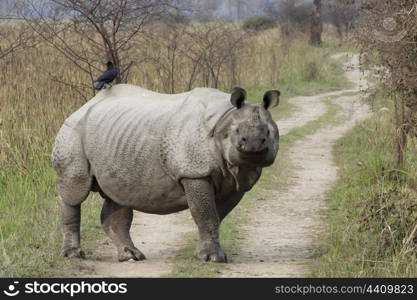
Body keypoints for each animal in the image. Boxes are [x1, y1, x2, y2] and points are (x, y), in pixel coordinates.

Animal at [52, 84, 280, 262]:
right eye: (238, 133)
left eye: (269, 133)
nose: (253, 145)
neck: (225, 117)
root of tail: (81, 107)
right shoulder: (194, 172)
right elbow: (207, 215)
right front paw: (212, 258)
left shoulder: (237, 184)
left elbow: (216, 216)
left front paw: (203, 254)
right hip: (71, 132)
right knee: (74, 191)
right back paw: (74, 255)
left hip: (115, 138)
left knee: (119, 195)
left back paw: (131, 256)